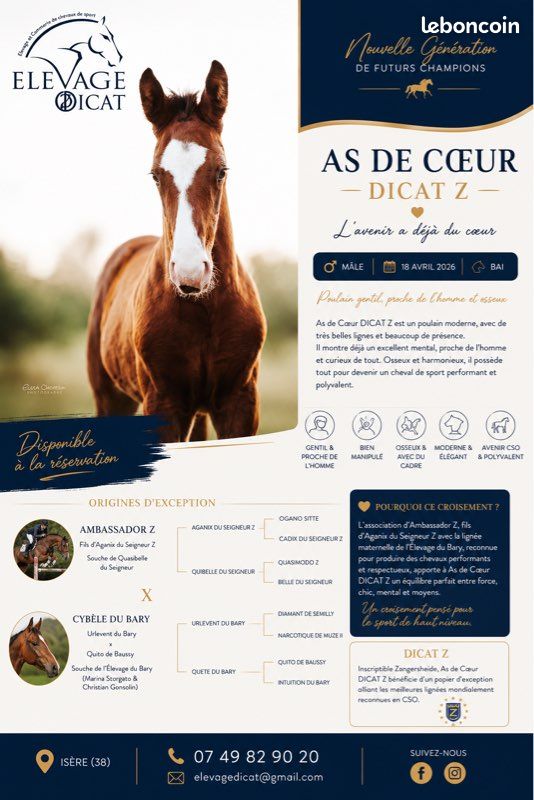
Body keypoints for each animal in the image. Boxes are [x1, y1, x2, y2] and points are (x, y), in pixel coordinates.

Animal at [87, 61, 267, 442]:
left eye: (221, 171)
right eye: (155, 175)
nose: (189, 272)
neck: (203, 309)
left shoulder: (240, 403)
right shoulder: (164, 404)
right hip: (111, 397)